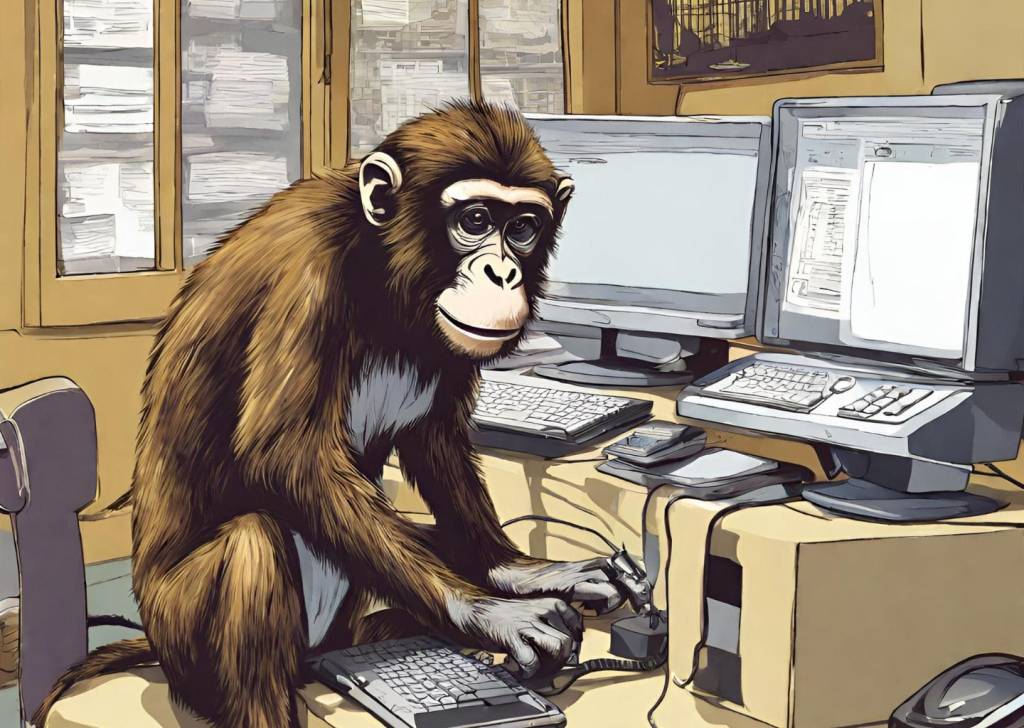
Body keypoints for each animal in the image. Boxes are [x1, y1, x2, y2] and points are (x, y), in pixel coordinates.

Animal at [34, 101, 639, 728]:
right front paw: (488, 614)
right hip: (180, 638)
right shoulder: (306, 278)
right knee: (252, 544)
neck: (384, 272)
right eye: (474, 220)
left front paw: (519, 573)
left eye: (522, 228)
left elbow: (437, 442)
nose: (504, 273)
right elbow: (288, 455)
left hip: (331, 634)